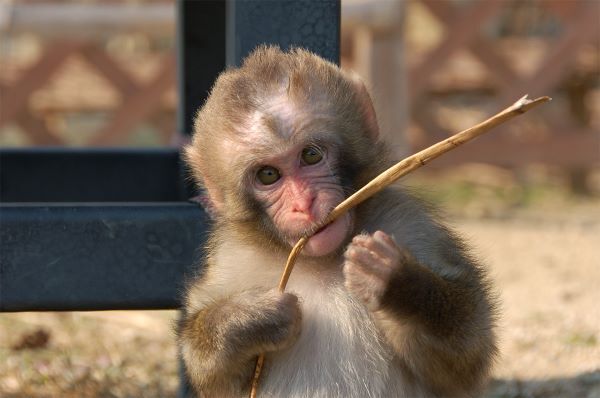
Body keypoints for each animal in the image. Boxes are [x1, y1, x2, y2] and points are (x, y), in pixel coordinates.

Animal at [178, 45, 496, 396]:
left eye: (311, 155)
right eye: (268, 175)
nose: (304, 203)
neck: (322, 263)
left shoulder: (412, 225)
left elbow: (467, 349)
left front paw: (394, 282)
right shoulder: (230, 260)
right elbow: (215, 379)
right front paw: (248, 320)